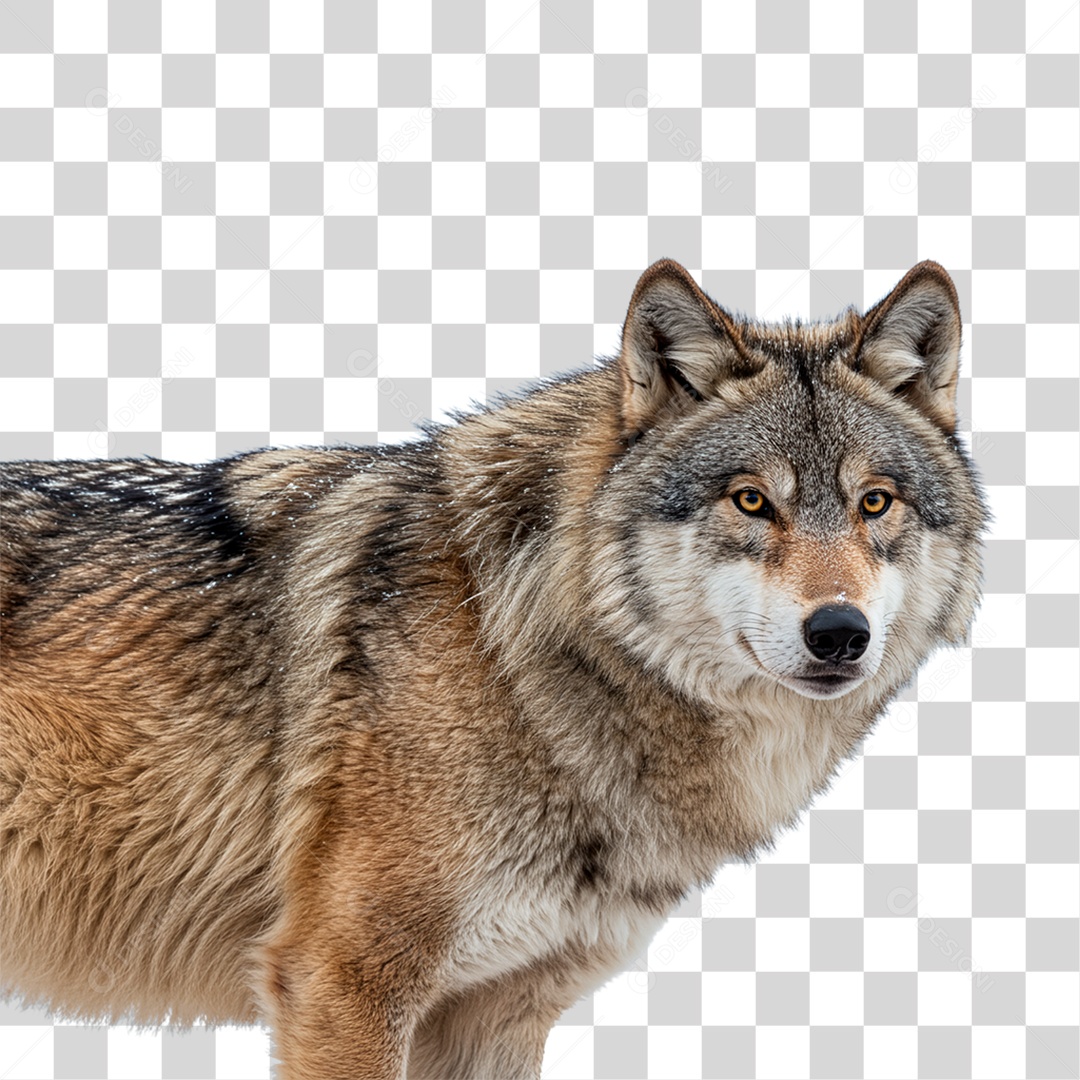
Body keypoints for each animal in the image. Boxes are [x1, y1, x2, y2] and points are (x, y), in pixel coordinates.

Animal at [1, 259, 985, 1079]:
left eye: (874, 504)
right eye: (751, 501)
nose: (840, 633)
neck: (511, 651)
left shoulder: (497, 1014)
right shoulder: (342, 983)